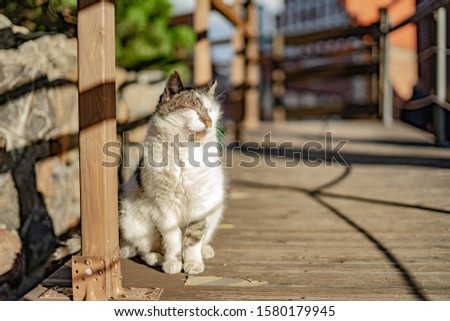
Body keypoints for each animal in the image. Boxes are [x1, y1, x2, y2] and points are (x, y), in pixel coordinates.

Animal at [118, 71, 225, 274]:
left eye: (210, 111)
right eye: (192, 109)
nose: (208, 122)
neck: (185, 150)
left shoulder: (200, 203)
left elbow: (193, 238)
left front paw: (193, 263)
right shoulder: (163, 207)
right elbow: (172, 238)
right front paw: (173, 263)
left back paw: (205, 251)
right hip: (133, 221)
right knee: (142, 249)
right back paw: (156, 258)